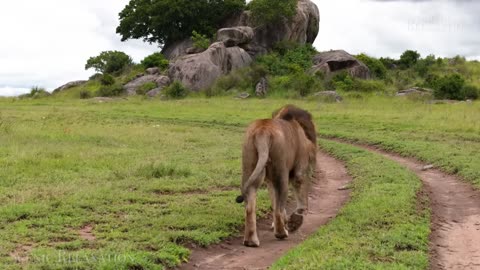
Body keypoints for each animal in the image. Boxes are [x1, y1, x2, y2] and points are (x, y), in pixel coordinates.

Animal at [235, 105, 316, 247]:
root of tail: (262, 132)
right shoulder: (300, 168)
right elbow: (300, 196)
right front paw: (295, 221)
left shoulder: (270, 181)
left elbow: (274, 201)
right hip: (280, 172)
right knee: (278, 209)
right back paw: (281, 233)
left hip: (250, 167)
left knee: (250, 206)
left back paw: (251, 241)